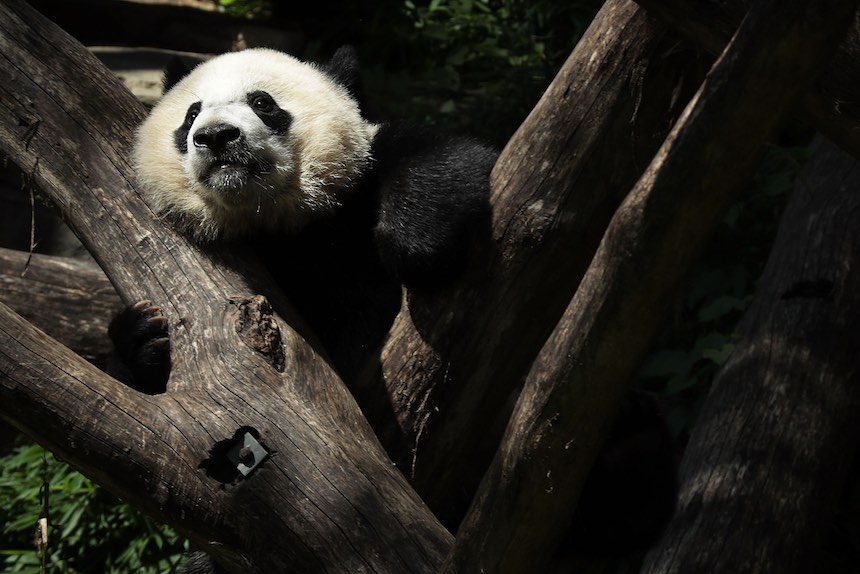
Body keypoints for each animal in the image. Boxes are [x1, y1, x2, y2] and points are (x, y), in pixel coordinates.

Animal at [107, 46, 498, 393]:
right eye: (191, 114)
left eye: (262, 103)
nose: (216, 135)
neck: (273, 219)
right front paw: (142, 337)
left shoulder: (357, 187)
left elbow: (449, 157)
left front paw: (415, 250)